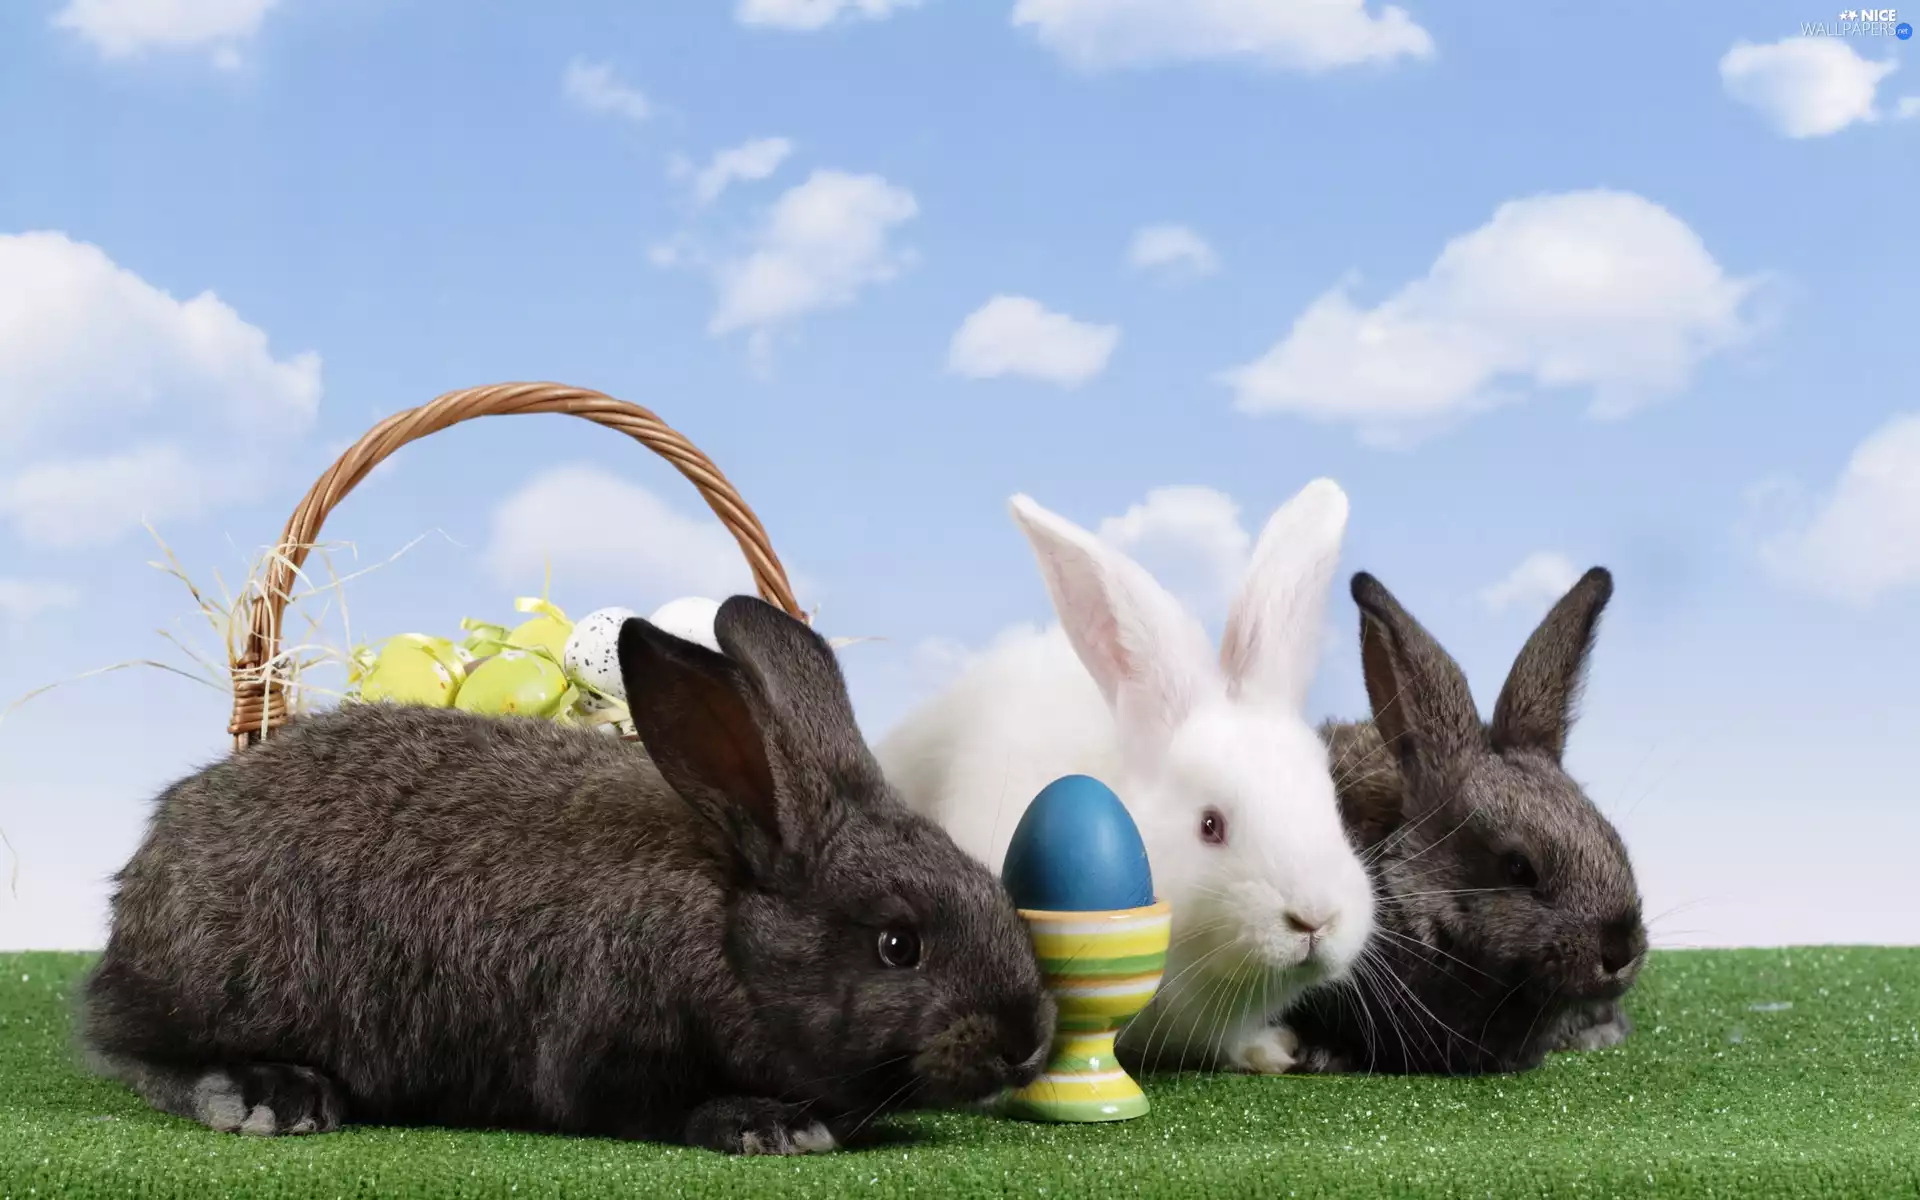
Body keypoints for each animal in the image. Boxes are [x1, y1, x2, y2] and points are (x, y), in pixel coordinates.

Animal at [80, 596, 1054, 1155]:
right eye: (897, 945)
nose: (1025, 1040)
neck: (733, 930)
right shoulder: (605, 1049)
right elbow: (650, 1107)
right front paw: (769, 1124)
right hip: (213, 984)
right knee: (133, 1054)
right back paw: (269, 1096)